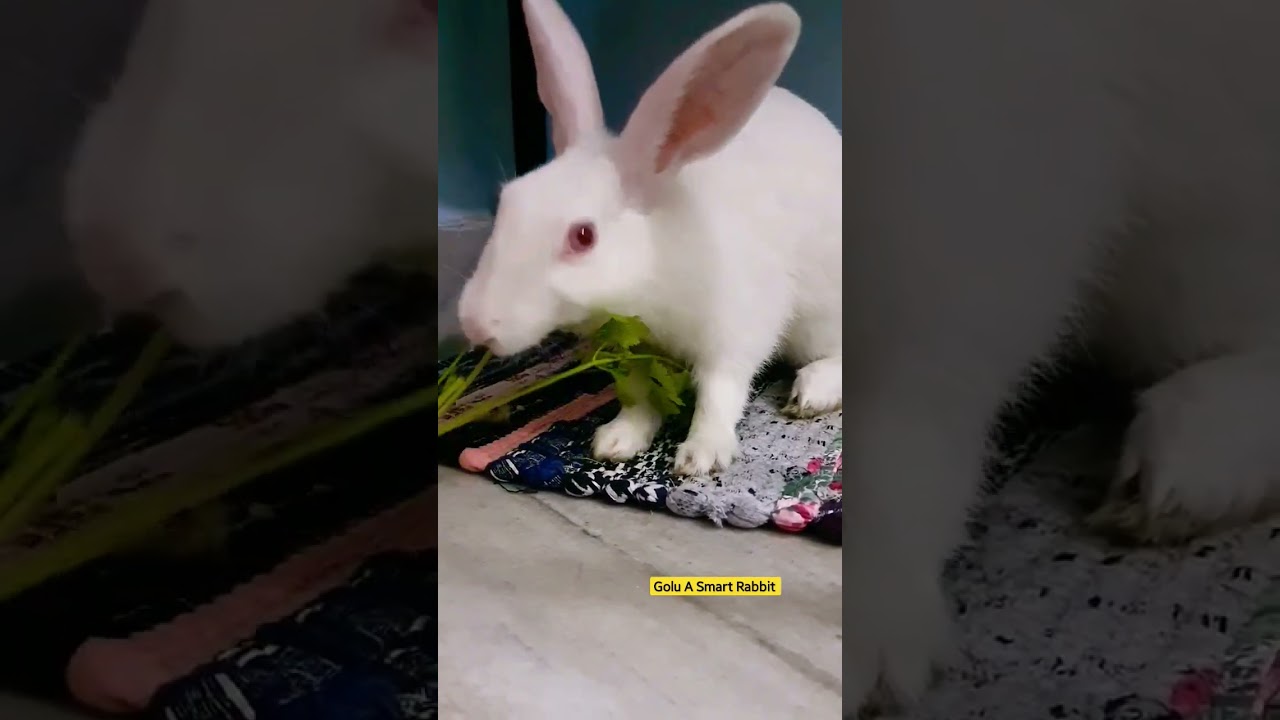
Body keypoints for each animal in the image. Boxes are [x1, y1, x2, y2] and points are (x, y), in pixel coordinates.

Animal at [457, 0, 843, 480]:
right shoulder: (633, 356)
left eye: (583, 236)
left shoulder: (737, 327)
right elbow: (638, 398)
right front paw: (615, 441)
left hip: (820, 319)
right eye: (506, 200)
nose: (475, 324)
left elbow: (720, 392)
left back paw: (812, 391)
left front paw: (700, 455)